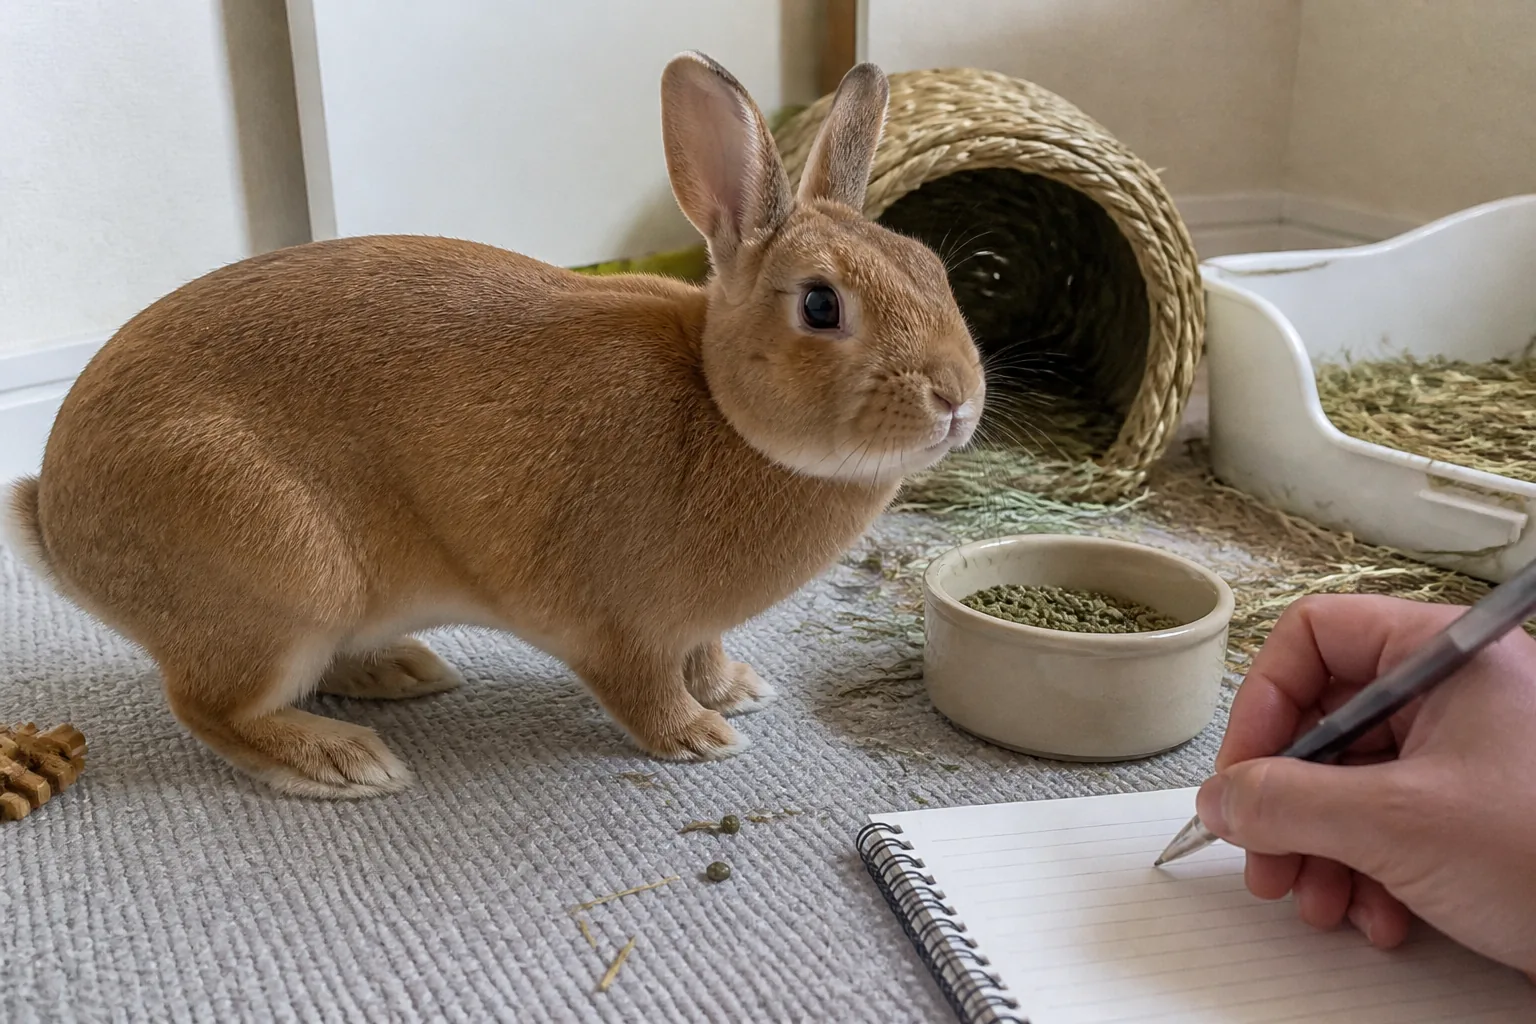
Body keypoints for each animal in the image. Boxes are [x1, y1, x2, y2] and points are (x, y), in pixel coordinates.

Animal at [3, 52, 984, 798]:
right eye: (820, 305)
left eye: (932, 269)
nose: (958, 399)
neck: (720, 408)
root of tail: (57, 523)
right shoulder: (618, 624)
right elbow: (642, 688)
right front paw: (701, 735)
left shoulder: (689, 625)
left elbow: (703, 653)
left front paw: (737, 690)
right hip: (279, 582)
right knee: (209, 706)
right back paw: (344, 763)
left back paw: (402, 671)